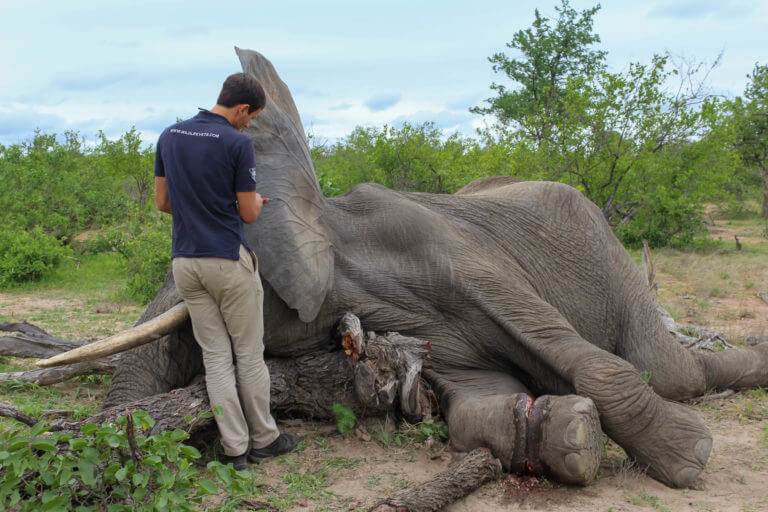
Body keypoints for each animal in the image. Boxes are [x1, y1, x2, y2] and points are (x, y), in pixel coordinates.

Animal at [67, 48, 768, 490]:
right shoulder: (429, 339)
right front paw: (570, 437)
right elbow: (477, 409)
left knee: (673, 370)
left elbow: (588, 358)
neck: (338, 238)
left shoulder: (455, 252)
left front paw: (690, 458)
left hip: (614, 261)